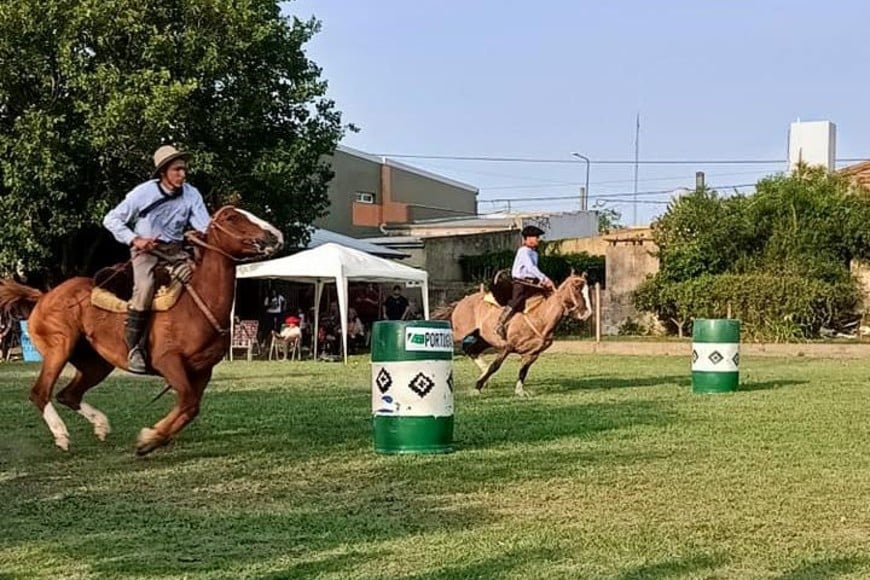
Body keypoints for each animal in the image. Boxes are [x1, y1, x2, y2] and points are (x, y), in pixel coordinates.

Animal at [0, 206, 282, 456]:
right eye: (232, 217)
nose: (275, 236)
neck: (198, 305)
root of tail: (44, 295)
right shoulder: (169, 362)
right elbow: (188, 402)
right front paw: (149, 438)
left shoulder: (203, 371)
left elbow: (190, 407)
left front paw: (152, 438)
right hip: (59, 348)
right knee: (40, 392)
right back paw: (61, 434)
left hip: (96, 363)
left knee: (68, 394)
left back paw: (101, 425)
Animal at [436, 274, 592, 396]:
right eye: (577, 289)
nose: (587, 313)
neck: (541, 317)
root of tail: (461, 302)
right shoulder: (506, 347)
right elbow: (495, 366)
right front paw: (477, 388)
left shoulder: (533, 354)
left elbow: (523, 371)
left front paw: (520, 391)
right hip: (459, 334)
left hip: (484, 338)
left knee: (470, 350)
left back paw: (483, 373)